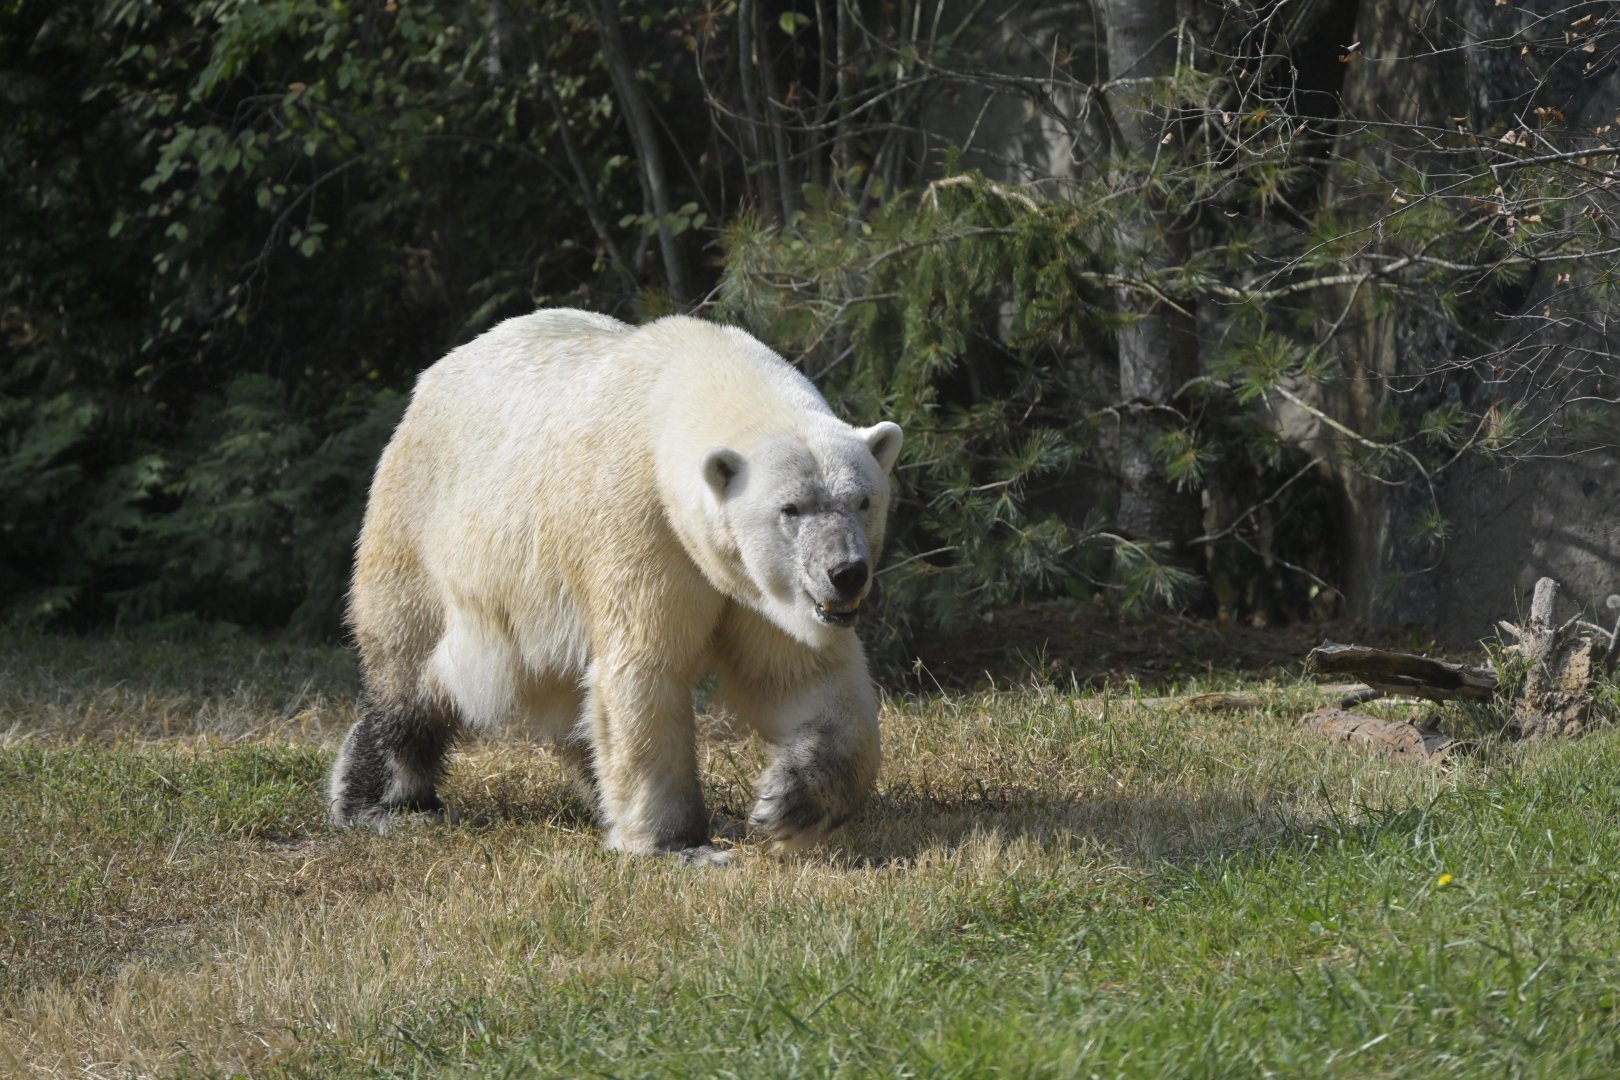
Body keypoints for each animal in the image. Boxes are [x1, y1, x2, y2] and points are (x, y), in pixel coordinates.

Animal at [327, 309, 903, 864]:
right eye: (790, 508)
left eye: (863, 500)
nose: (845, 572)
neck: (681, 381)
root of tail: (427, 385)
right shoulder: (640, 521)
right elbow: (645, 668)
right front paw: (680, 847)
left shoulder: (759, 588)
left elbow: (797, 672)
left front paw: (789, 803)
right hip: (424, 526)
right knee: (411, 670)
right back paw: (381, 804)